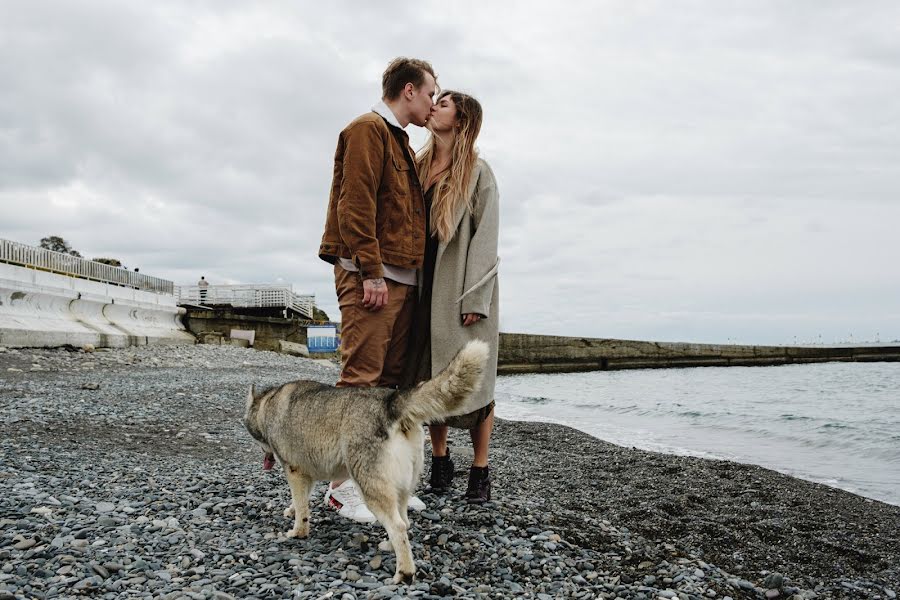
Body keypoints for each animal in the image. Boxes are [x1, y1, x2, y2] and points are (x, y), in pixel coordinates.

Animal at [243, 340, 488, 584]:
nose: (264, 457)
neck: (267, 405)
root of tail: (390, 401)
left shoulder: (294, 471)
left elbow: (302, 509)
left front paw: (298, 531)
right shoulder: (306, 475)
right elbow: (300, 501)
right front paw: (291, 511)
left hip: (370, 488)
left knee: (398, 526)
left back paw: (404, 573)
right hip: (400, 490)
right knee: (404, 522)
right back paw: (390, 546)